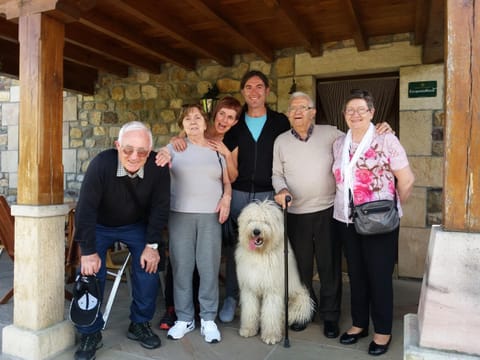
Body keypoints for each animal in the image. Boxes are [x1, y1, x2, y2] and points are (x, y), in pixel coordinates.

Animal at [234, 200, 314, 344]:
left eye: (266, 221)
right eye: (251, 220)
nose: (256, 231)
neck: (260, 254)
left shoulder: (272, 290)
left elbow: (271, 313)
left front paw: (271, 336)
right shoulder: (249, 288)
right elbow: (250, 310)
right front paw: (248, 329)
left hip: (300, 299)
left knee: (288, 315)